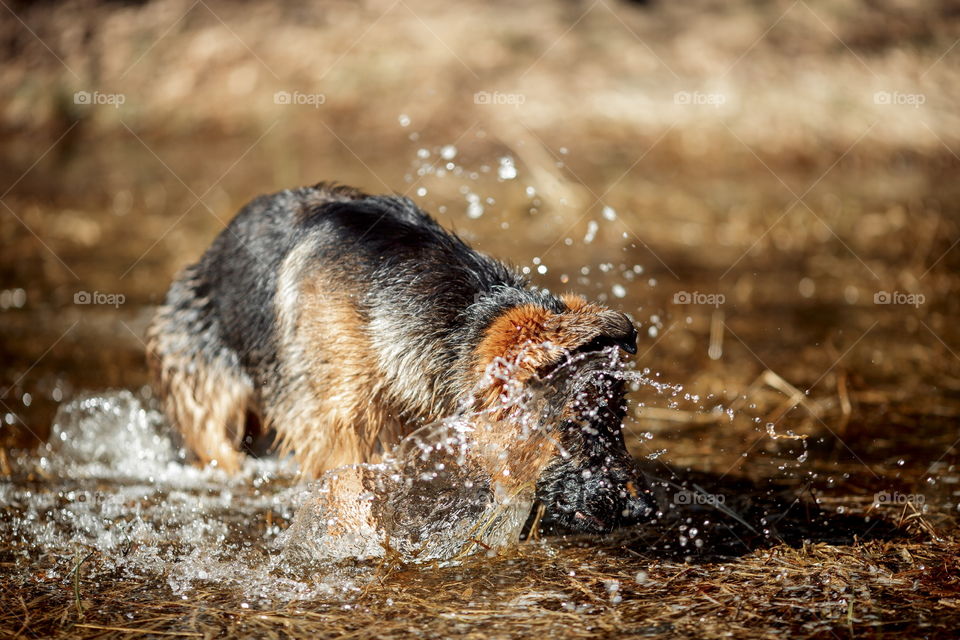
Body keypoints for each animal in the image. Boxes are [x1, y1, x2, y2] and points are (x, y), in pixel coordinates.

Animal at [146, 181, 656, 536]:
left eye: (619, 419)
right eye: (575, 423)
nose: (644, 510)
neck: (463, 318)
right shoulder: (340, 430)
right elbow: (349, 493)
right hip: (212, 408)